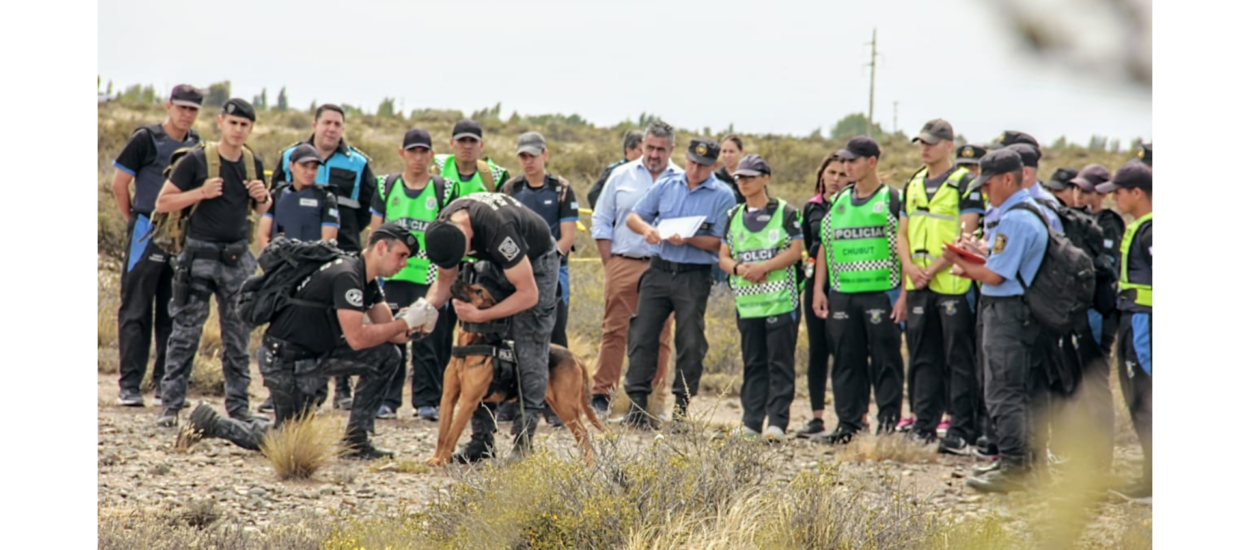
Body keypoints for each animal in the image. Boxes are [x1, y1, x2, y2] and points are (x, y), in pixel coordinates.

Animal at [427, 281, 607, 465]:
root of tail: (575, 356)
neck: (470, 344)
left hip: (565, 404)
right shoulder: (448, 397)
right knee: (579, 433)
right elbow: (442, 434)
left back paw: (590, 464)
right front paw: (436, 458)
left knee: (583, 432)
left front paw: (442, 460)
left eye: (479, 292)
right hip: (558, 404)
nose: (457, 281)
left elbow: (451, 435)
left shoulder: (468, 401)